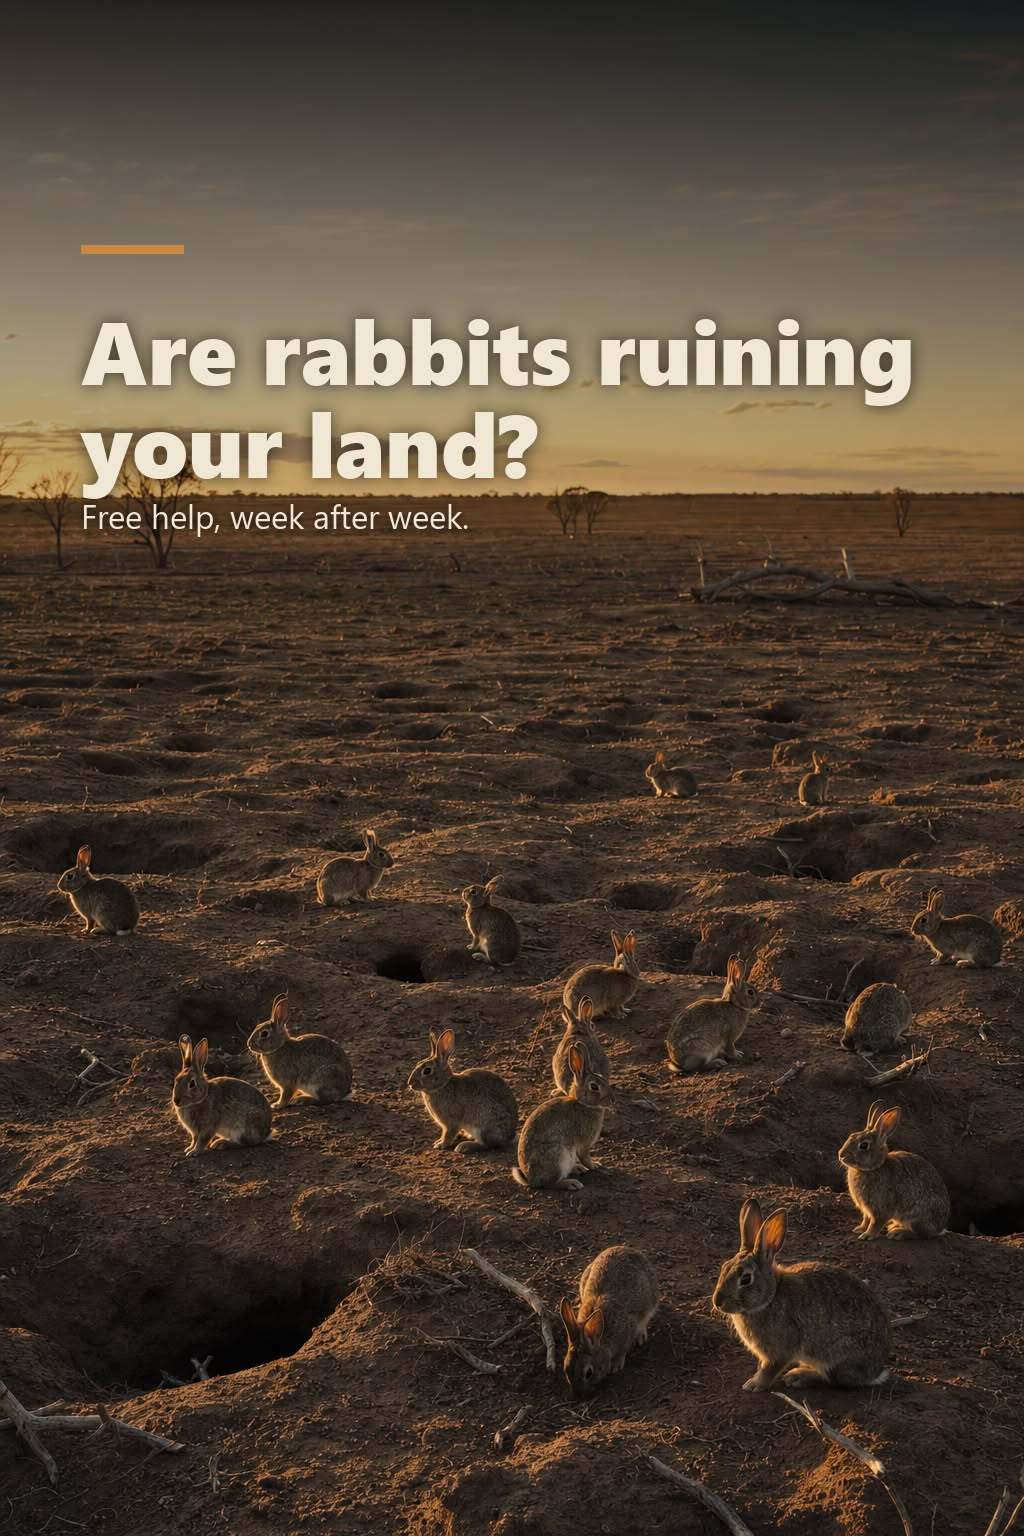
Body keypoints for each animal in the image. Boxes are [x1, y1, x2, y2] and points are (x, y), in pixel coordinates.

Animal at [513, 1043, 611, 1191]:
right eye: (594, 1087)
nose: (612, 1100)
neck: (582, 1103)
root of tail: (531, 1180)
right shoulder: (584, 1143)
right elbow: (585, 1157)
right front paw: (595, 1165)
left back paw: (576, 1169)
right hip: (558, 1156)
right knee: (550, 1184)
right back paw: (571, 1183)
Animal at [558, 1245, 658, 1395]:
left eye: (589, 1373)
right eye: (566, 1369)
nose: (579, 1394)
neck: (602, 1339)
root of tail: (626, 1248)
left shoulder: (628, 1330)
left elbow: (622, 1350)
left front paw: (615, 1365)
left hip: (650, 1300)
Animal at [713, 1199, 892, 1392]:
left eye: (746, 1279)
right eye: (724, 1267)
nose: (717, 1302)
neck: (771, 1297)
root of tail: (876, 1371)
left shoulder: (780, 1351)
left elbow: (769, 1370)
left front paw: (753, 1384)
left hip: (835, 1356)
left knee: (832, 1379)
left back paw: (798, 1376)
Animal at [839, 1100, 950, 1240]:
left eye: (863, 1145)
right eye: (851, 1136)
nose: (840, 1155)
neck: (874, 1168)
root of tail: (939, 1228)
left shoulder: (881, 1209)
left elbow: (875, 1223)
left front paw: (867, 1235)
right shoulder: (866, 1210)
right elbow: (866, 1219)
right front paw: (859, 1229)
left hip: (916, 1218)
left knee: (921, 1234)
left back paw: (898, 1233)